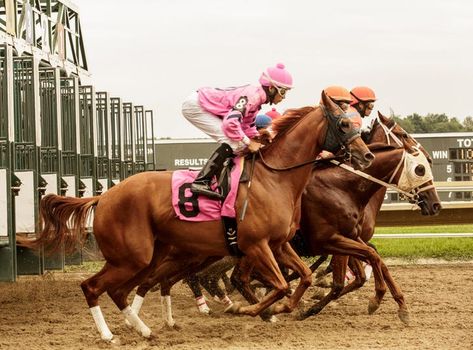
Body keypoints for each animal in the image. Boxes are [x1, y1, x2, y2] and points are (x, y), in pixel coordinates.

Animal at [20, 91, 374, 342]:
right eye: (344, 124)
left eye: (359, 125)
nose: (367, 155)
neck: (275, 178)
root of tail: (104, 195)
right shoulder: (257, 245)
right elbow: (278, 284)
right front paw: (248, 308)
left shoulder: (279, 244)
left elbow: (303, 277)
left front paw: (282, 308)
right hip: (132, 257)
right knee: (93, 287)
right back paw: (109, 335)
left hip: (148, 256)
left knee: (122, 290)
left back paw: (144, 329)